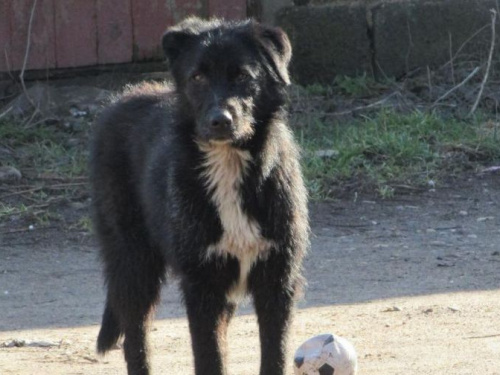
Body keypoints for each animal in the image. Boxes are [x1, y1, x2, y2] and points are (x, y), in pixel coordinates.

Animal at [90, 16, 308, 375]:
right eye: (197, 77)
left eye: (242, 76)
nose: (220, 121)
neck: (229, 164)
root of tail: (119, 99)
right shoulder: (202, 287)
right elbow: (210, 358)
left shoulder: (277, 281)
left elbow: (273, 356)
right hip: (133, 262)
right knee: (136, 341)